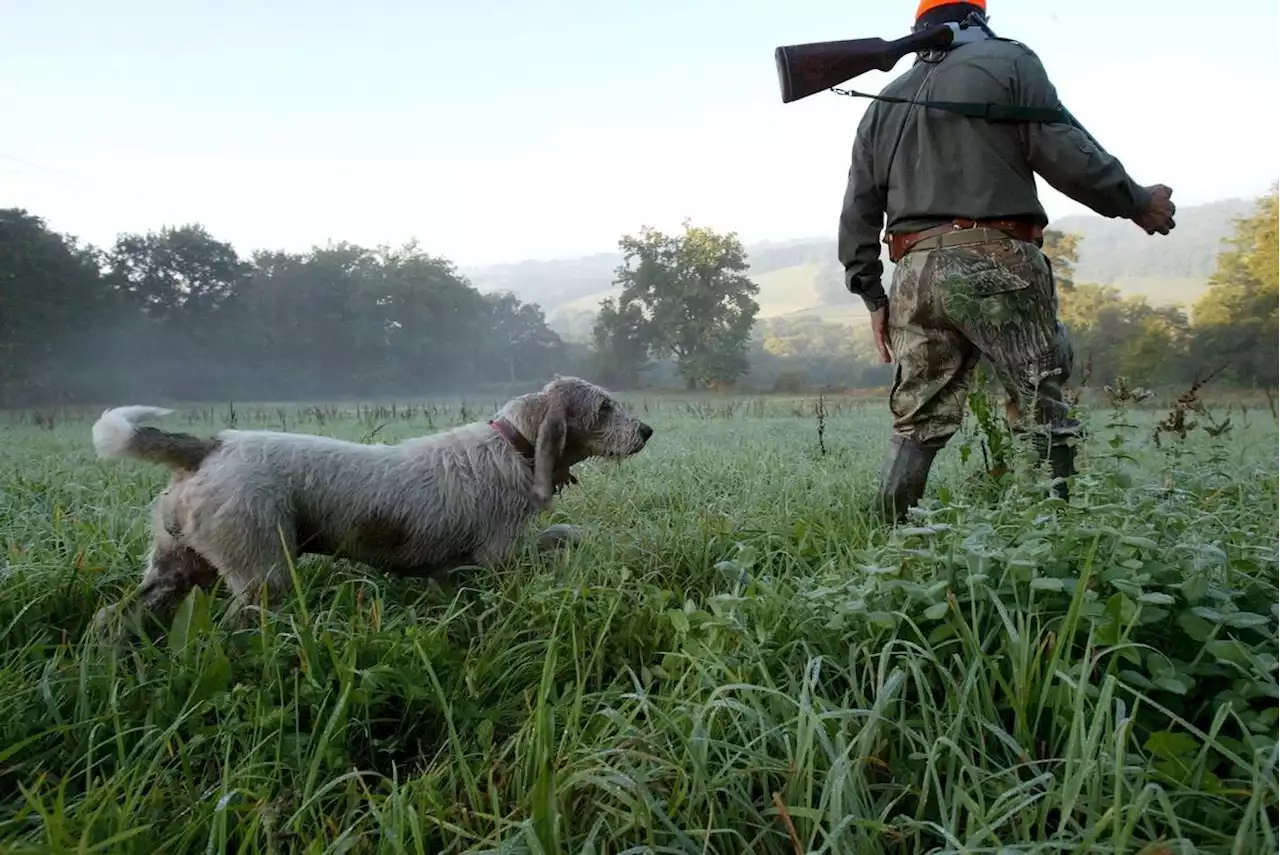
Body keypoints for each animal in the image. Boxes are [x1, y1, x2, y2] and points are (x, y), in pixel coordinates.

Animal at [92, 376, 650, 632]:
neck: (514, 446)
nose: (646, 430)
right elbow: (561, 537)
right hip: (263, 577)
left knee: (111, 618)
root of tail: (210, 446)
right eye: (605, 407)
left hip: (177, 569)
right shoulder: (501, 557)